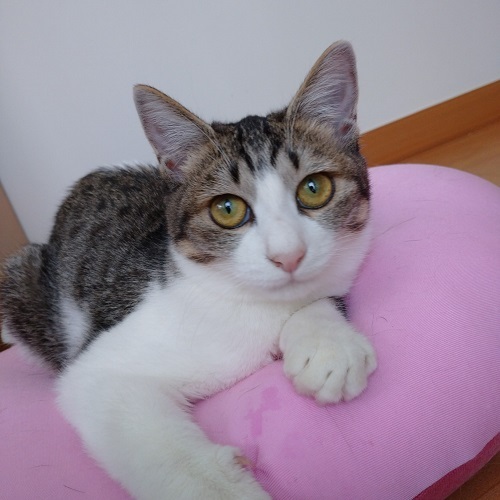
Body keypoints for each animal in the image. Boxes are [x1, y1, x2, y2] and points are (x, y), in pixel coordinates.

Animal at [1, 41, 376, 499]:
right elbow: (142, 428)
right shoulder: (100, 372)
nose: (287, 255)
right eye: (227, 209)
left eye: (314, 188)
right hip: (21, 280)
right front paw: (220, 487)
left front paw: (327, 344)